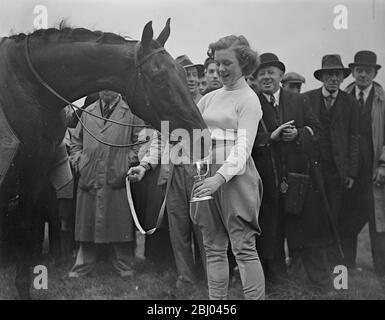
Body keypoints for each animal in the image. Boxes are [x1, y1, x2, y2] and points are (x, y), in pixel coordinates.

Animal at [0, 20, 207, 298]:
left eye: (184, 77)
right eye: (158, 79)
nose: (203, 136)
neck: (27, 86)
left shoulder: (35, 169)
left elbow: (26, 222)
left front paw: (22, 287)